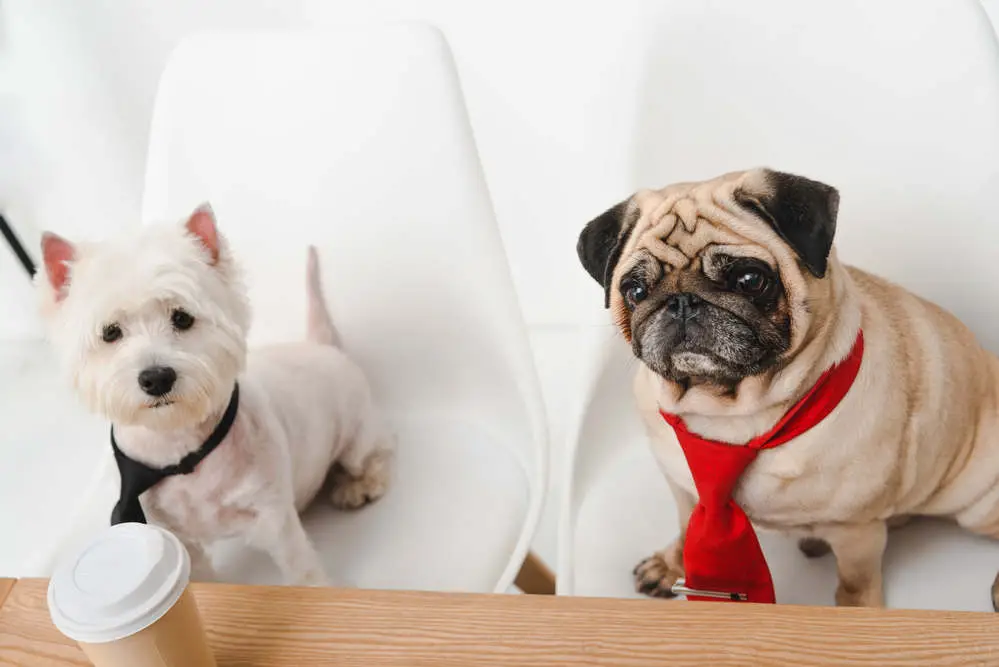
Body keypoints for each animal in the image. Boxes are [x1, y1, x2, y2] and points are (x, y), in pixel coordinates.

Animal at [37, 205, 392, 584]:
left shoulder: (273, 516)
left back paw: (357, 485)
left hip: (357, 432)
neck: (182, 452)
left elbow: (300, 569)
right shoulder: (173, 534)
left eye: (182, 317)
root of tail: (321, 345)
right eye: (110, 332)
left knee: (378, 450)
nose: (156, 378)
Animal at [576, 170, 999, 608]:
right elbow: (686, 527)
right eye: (635, 291)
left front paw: (857, 610)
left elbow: (855, 580)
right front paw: (670, 564)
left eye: (750, 280)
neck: (730, 412)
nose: (681, 302)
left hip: (978, 499)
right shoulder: (684, 489)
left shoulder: (856, 530)